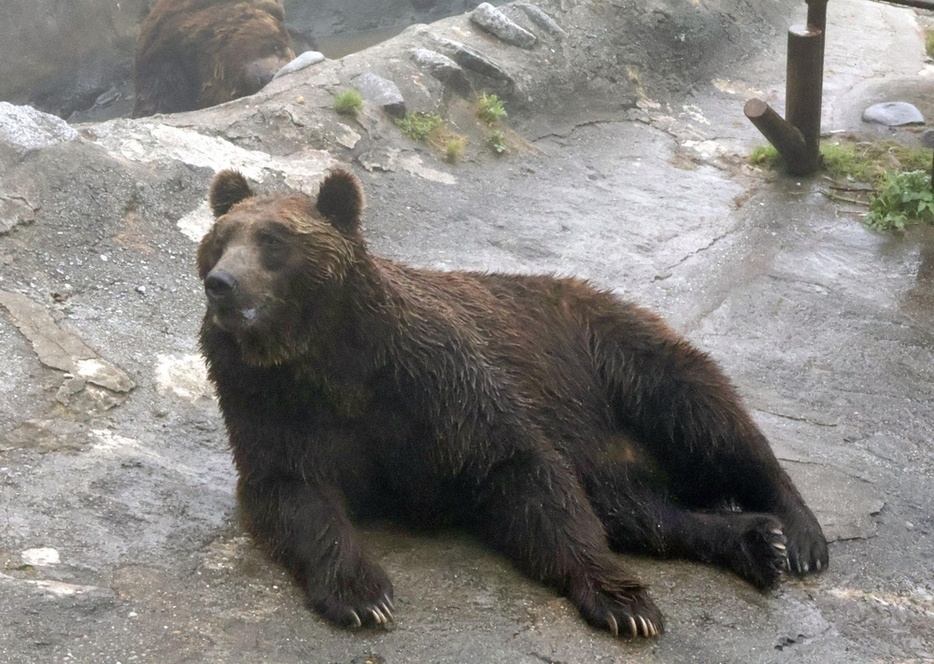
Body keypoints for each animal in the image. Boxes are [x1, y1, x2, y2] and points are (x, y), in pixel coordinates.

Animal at [196, 170, 828, 640]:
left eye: (273, 241)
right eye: (220, 240)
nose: (221, 283)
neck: (325, 357)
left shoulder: (432, 381)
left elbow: (519, 467)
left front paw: (625, 602)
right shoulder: (269, 403)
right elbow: (292, 493)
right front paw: (362, 594)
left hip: (620, 361)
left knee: (710, 421)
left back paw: (798, 537)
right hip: (603, 450)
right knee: (641, 512)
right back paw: (755, 541)